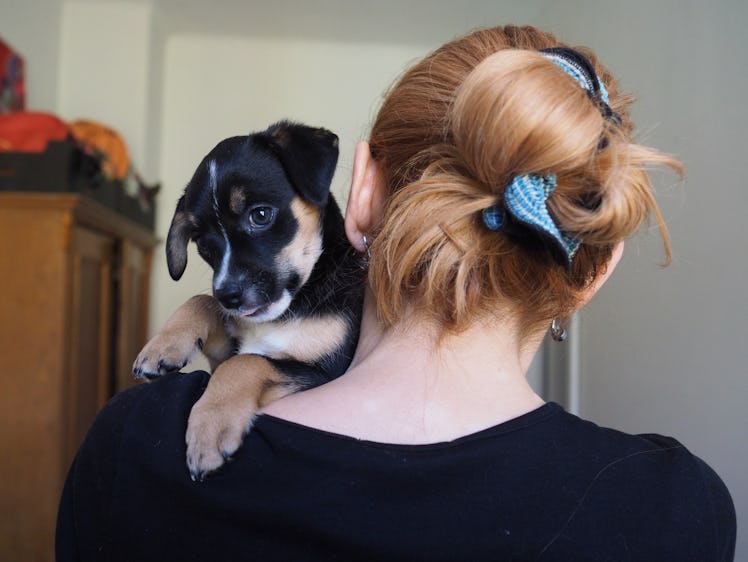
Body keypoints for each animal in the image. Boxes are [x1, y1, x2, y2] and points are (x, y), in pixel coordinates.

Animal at [137, 120, 368, 480]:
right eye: (203, 243)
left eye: (260, 215)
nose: (228, 296)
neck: (289, 310)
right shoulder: (227, 347)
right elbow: (203, 304)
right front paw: (162, 346)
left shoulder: (326, 373)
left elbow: (248, 362)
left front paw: (209, 429)